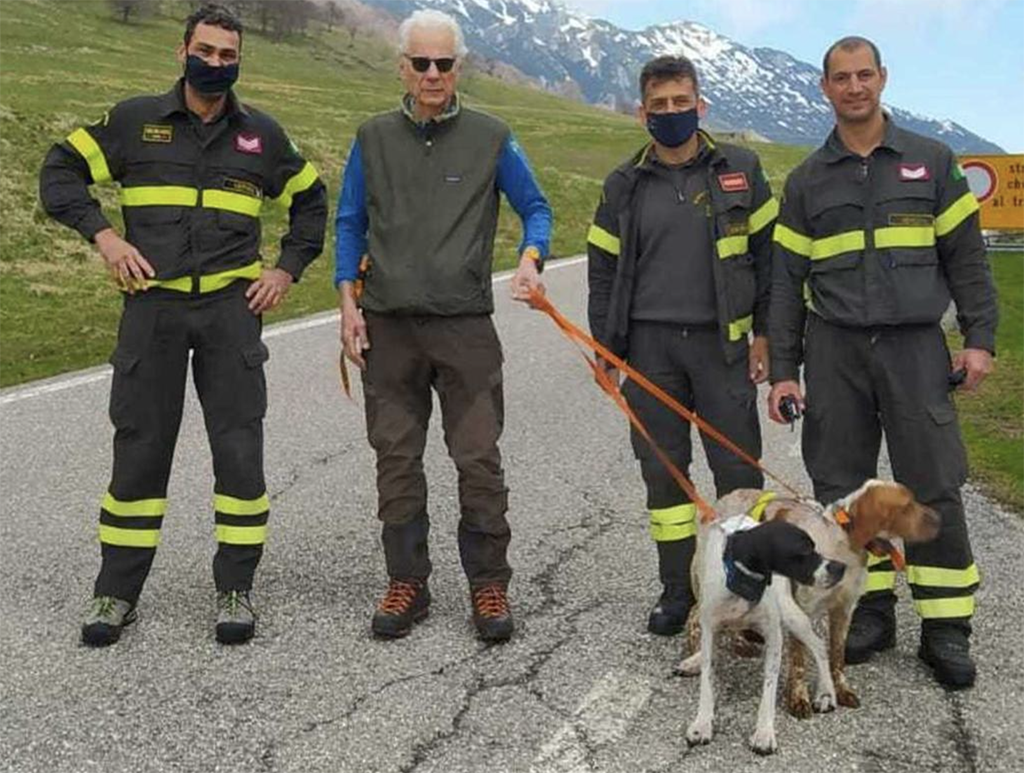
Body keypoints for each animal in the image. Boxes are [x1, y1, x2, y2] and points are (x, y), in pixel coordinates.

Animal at [684, 513, 843, 757]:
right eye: (805, 551)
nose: (840, 568)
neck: (742, 582)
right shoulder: (710, 629)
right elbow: (707, 681)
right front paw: (701, 724)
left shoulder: (774, 636)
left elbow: (768, 690)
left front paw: (764, 734)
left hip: (789, 612)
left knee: (818, 645)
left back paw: (826, 693)